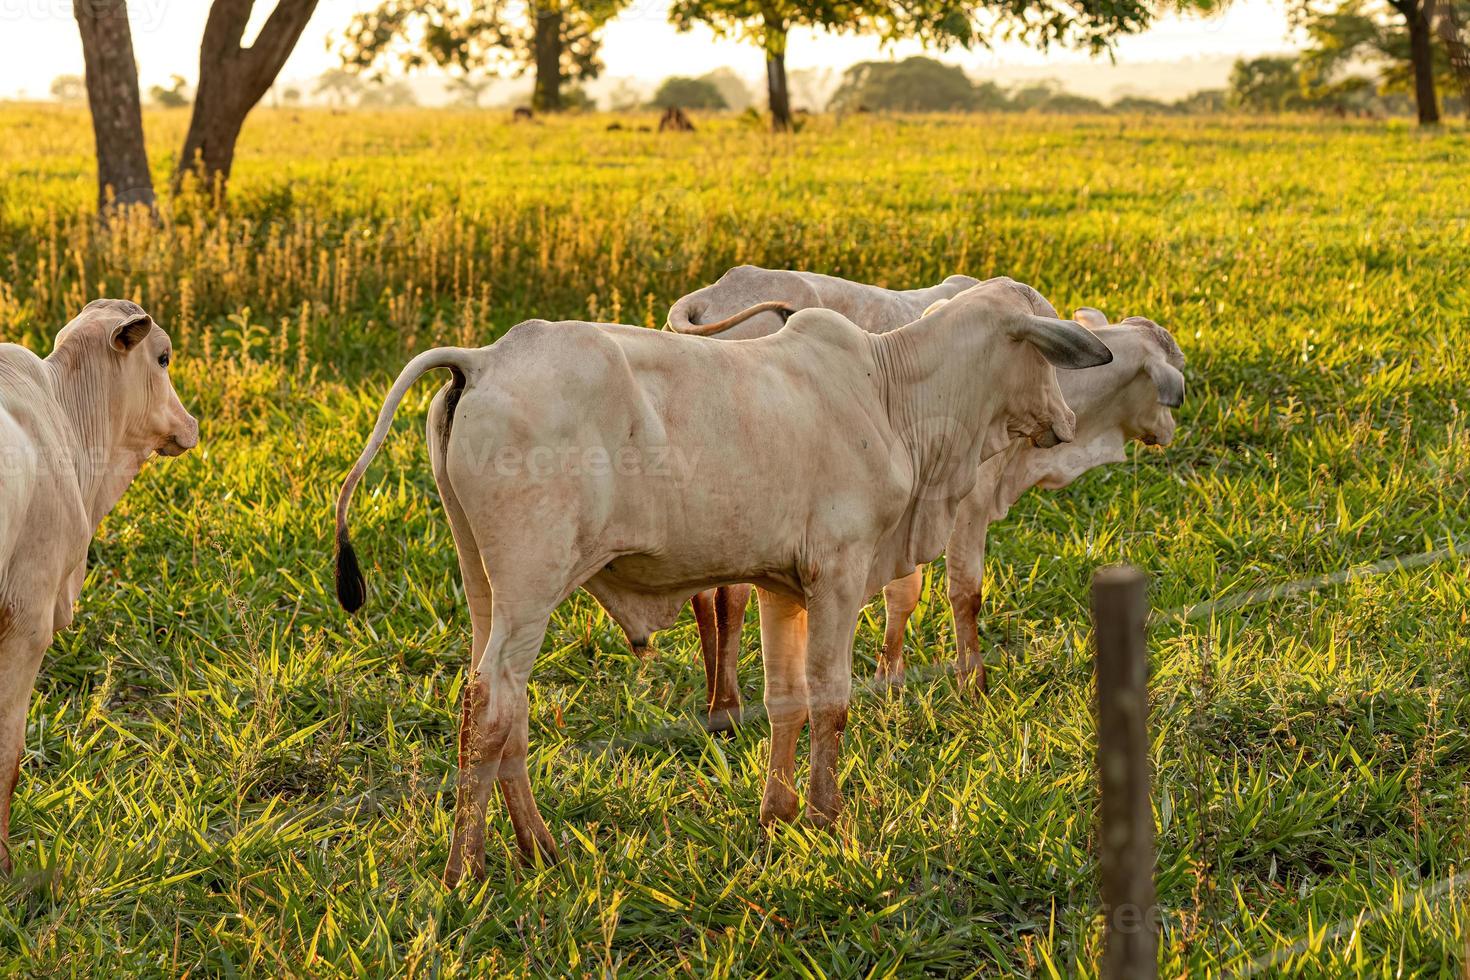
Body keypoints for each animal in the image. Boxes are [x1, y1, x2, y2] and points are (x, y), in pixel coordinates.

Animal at [336, 276, 1111, 881]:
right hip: (531, 585)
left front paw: (778, 815)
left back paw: (540, 850)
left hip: (485, 587)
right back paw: (466, 867)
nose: (1069, 420)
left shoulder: (781, 586)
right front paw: (828, 817)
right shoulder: (839, 571)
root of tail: (484, 359)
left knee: (503, 706)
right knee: (491, 706)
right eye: (1047, 350)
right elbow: (831, 701)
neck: (891, 393)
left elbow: (785, 701)